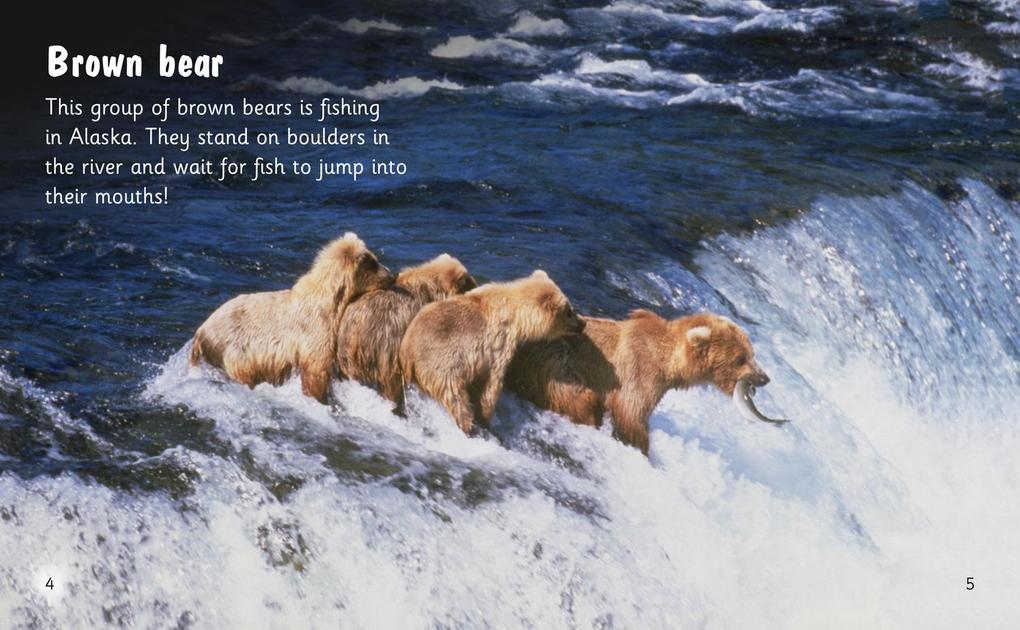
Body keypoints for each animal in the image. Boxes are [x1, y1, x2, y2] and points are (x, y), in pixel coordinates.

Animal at [189, 232, 394, 403]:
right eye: (374, 262)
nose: (392, 275)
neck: (332, 300)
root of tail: (200, 331)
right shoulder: (315, 328)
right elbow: (316, 368)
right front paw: (321, 397)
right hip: (234, 348)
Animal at [399, 270, 585, 434]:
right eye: (569, 311)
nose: (582, 324)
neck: (517, 315)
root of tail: (407, 351)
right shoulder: (499, 342)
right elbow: (492, 383)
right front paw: (486, 416)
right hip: (441, 364)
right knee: (454, 394)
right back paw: (467, 423)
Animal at [505, 310, 771, 454]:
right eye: (740, 358)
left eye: (751, 353)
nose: (764, 378)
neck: (667, 364)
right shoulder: (637, 372)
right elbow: (631, 415)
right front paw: (642, 448)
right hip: (557, 362)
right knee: (579, 399)